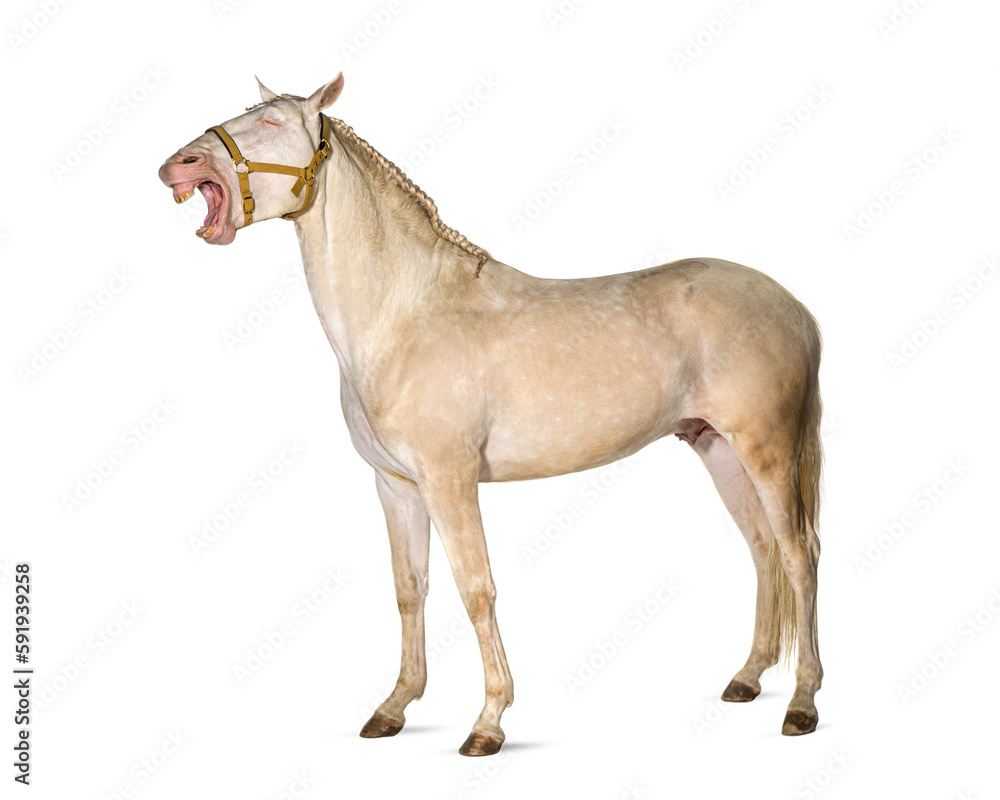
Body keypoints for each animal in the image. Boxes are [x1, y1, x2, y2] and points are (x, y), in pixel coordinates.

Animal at [158, 73, 824, 757]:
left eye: (272, 122)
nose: (178, 164)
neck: (404, 315)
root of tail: (795, 308)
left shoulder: (450, 482)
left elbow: (476, 590)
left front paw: (488, 722)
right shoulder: (396, 486)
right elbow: (410, 590)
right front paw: (394, 708)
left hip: (768, 450)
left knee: (801, 554)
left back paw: (801, 704)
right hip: (718, 449)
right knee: (763, 549)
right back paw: (747, 678)